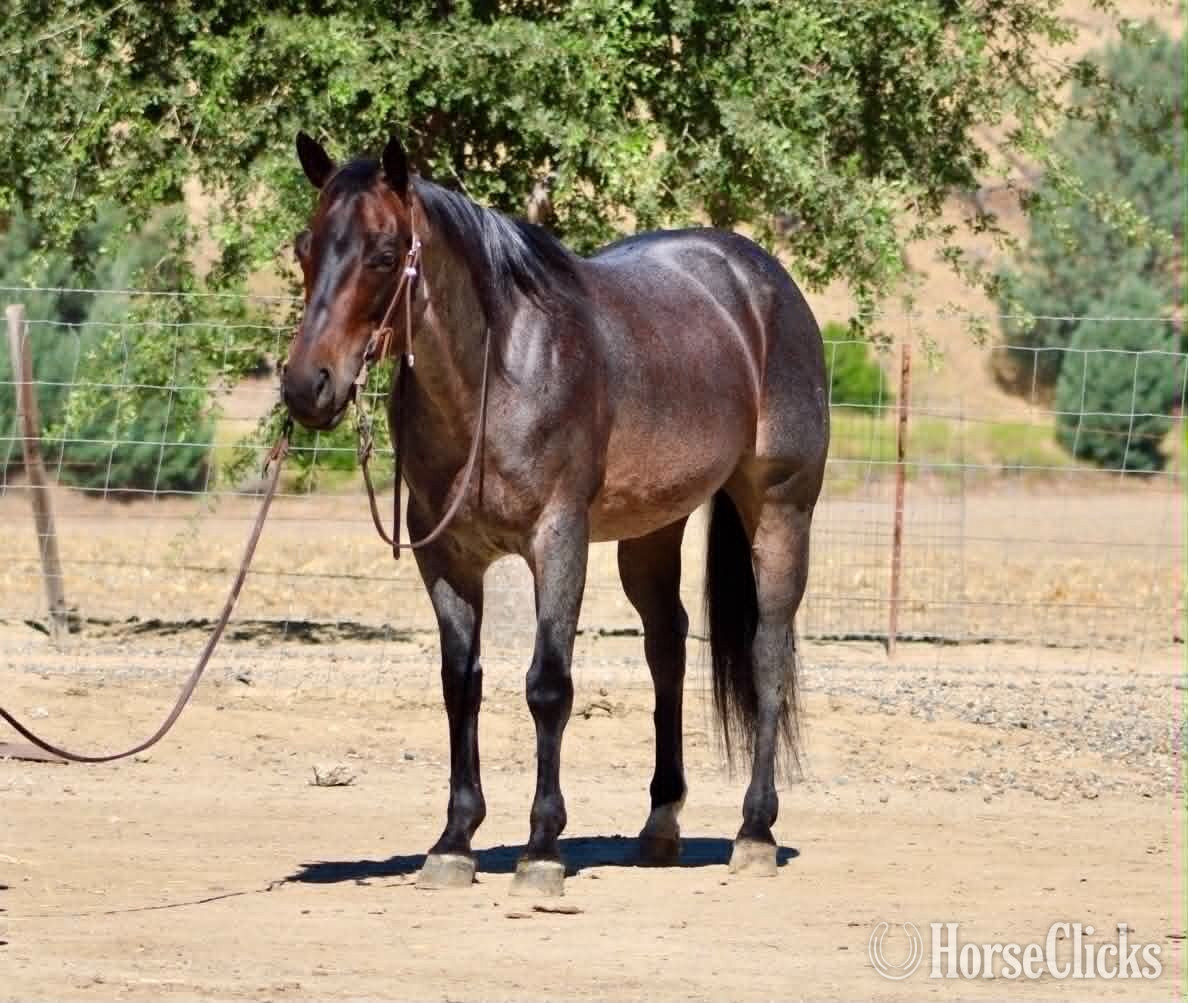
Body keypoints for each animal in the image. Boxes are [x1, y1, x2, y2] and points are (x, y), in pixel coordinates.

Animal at [281, 132, 829, 896]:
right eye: (305, 248)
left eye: (384, 254)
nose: (307, 386)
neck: (499, 373)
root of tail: (764, 279)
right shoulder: (445, 556)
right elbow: (461, 684)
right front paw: (453, 841)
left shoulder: (559, 538)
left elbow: (547, 685)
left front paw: (541, 849)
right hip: (652, 529)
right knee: (666, 647)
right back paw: (660, 823)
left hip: (780, 511)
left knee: (769, 652)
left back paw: (755, 830)